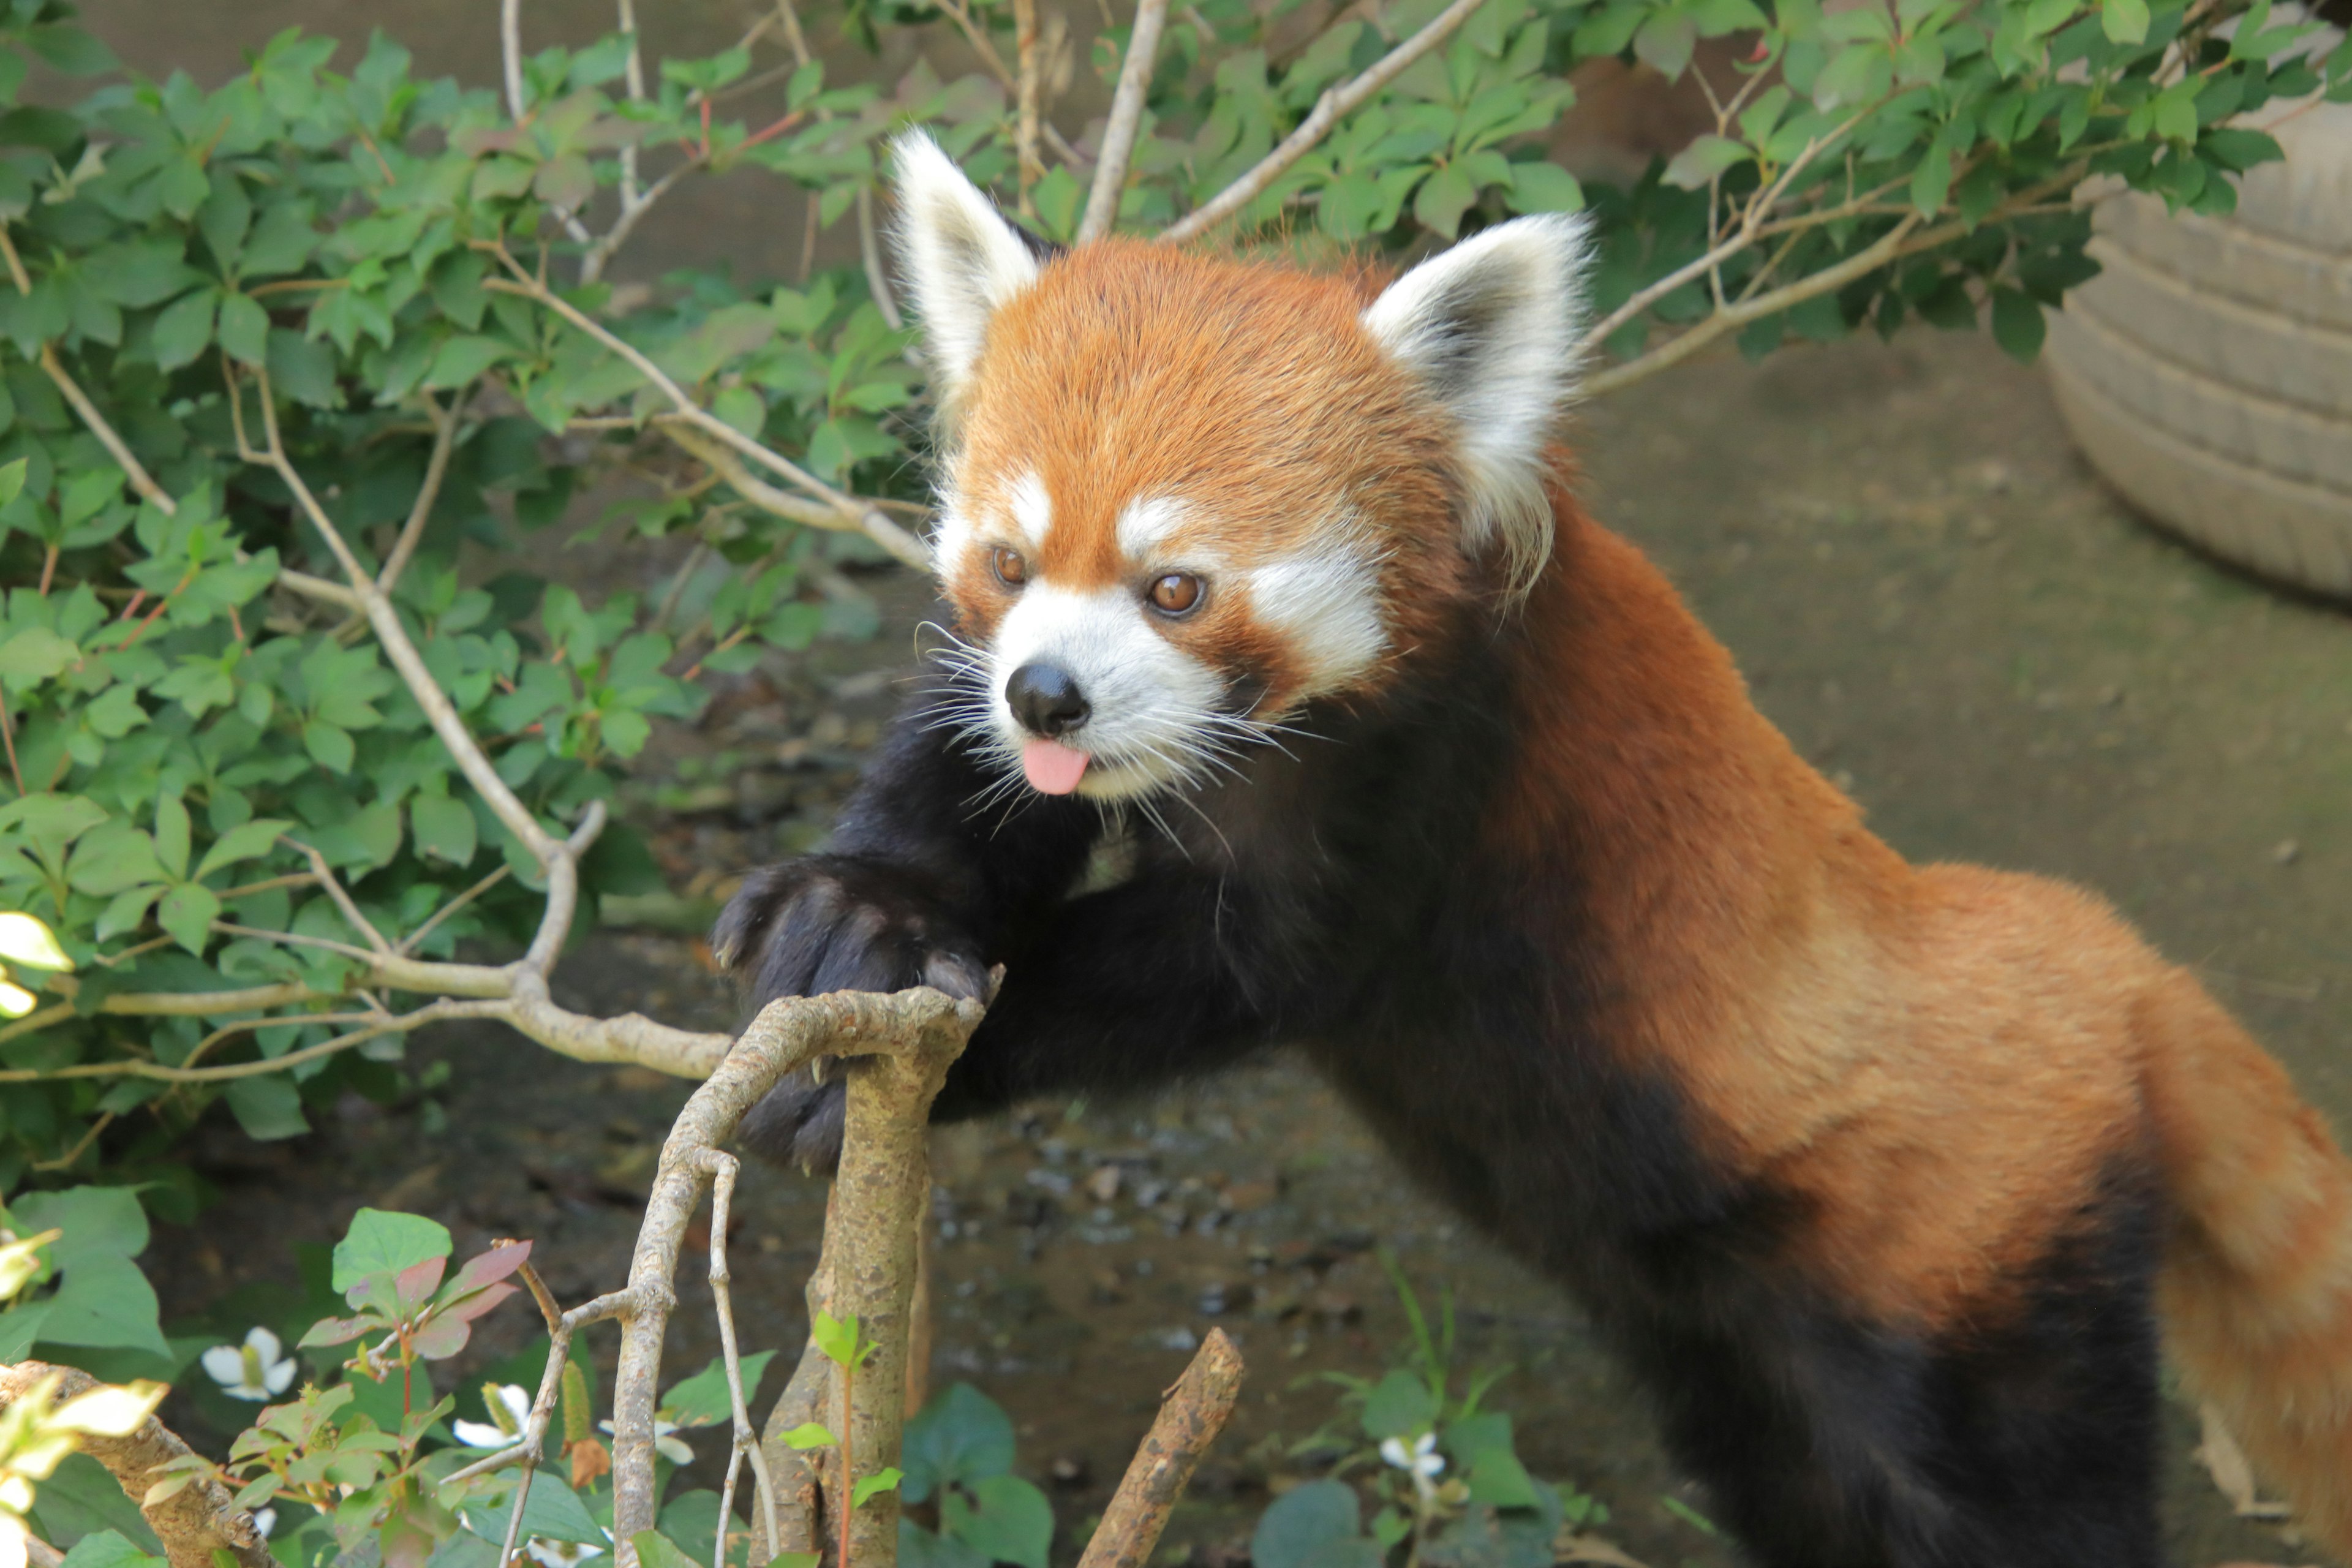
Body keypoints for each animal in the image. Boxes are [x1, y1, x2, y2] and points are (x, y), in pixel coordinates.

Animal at [710, 135, 2352, 1568]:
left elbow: (1244, 967)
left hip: (1977, 1266)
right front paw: (858, 918)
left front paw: (952, 1029)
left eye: (1175, 586)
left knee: (2026, 1497)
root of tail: (2105, 954)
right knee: (1814, 1481)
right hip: (1749, 1344)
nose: (1049, 691)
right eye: (1007, 562)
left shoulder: (1443, 759)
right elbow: (979, 785)